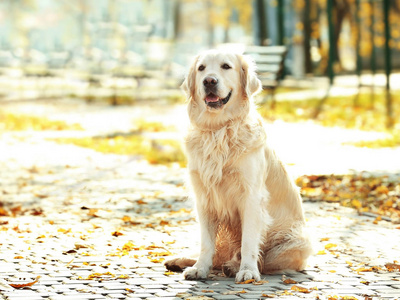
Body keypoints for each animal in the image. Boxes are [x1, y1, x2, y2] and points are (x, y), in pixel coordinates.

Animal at [164, 48, 310, 282]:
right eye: (201, 68)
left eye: (226, 66)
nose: (209, 81)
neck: (218, 129)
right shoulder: (204, 197)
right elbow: (206, 244)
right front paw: (200, 268)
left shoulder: (251, 196)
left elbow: (249, 241)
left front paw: (247, 270)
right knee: (217, 255)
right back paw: (182, 261)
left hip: (298, 241)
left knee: (264, 260)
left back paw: (234, 266)